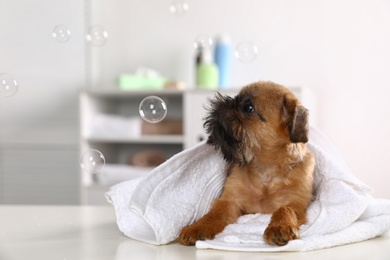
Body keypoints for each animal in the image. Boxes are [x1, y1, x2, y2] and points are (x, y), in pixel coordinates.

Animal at [178, 80, 316, 246]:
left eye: (248, 107)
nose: (226, 102)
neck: (266, 171)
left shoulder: (296, 204)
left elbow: (284, 209)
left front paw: (279, 227)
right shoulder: (229, 201)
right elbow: (214, 214)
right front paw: (197, 228)